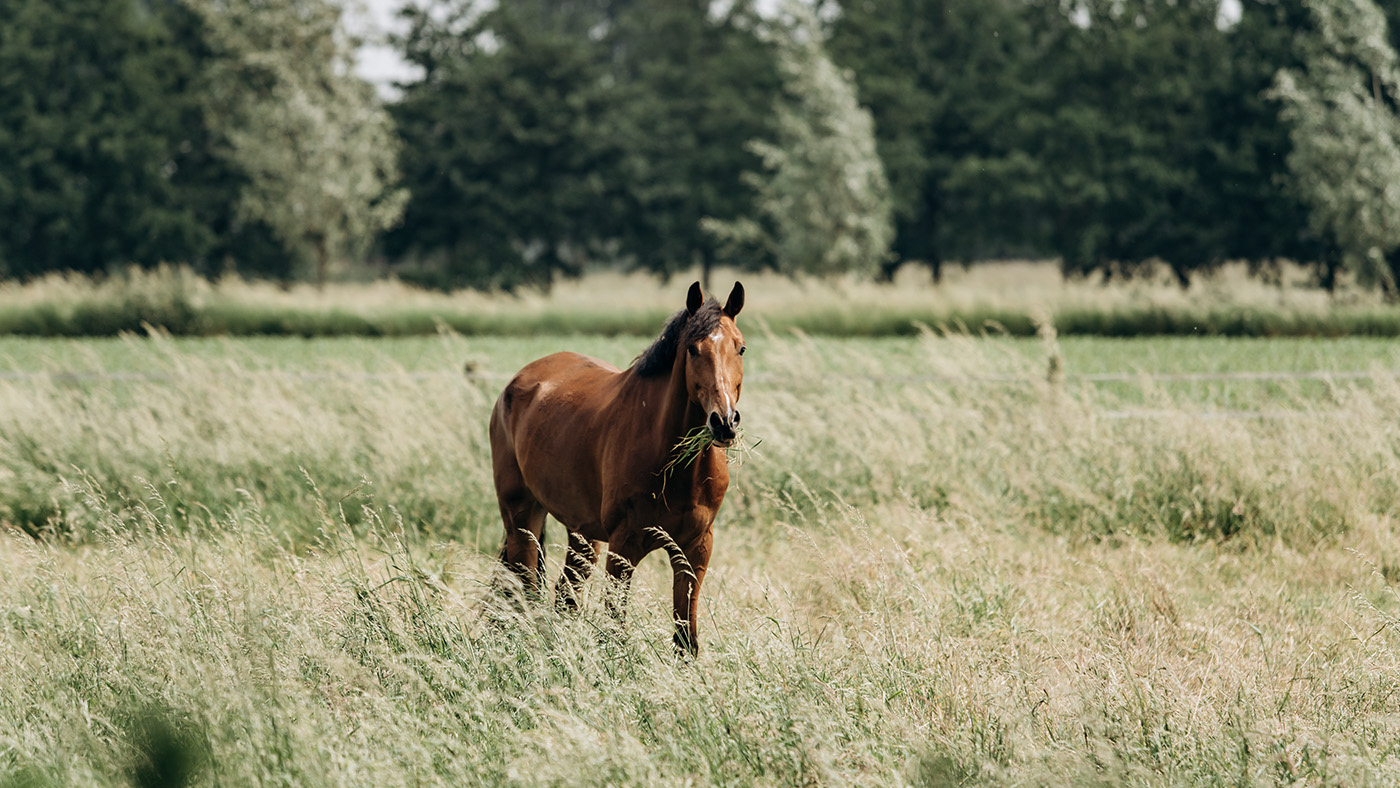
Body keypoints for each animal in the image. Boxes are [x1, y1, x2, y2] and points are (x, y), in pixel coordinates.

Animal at [492, 279, 750, 657]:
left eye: (740, 348)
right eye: (692, 349)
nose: (724, 422)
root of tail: (517, 382)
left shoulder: (696, 547)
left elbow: (686, 637)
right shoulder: (624, 546)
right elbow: (614, 629)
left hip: (581, 533)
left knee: (564, 594)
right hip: (522, 517)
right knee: (526, 588)